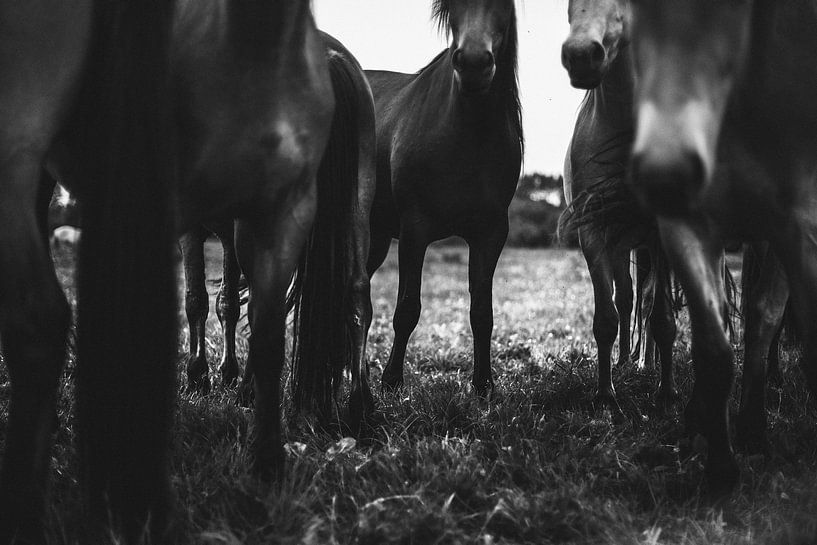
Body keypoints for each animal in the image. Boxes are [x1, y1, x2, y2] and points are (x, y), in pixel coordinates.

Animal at [365, 0, 523, 398]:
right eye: (452, 6)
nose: (474, 63)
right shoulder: (414, 231)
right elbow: (407, 309)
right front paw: (391, 381)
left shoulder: (490, 234)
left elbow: (482, 312)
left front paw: (483, 385)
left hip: (373, 238)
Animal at [560, 0, 679, 413]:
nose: (581, 55)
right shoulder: (595, 234)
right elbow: (607, 318)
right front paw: (606, 396)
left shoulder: (660, 234)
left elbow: (661, 318)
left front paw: (666, 394)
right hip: (622, 245)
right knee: (627, 299)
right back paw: (627, 360)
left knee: (647, 302)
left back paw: (648, 364)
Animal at [628, 0, 817, 494]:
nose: (666, 171)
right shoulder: (687, 229)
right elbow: (713, 347)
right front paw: (720, 469)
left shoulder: (796, 228)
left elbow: (767, 319)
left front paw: (752, 432)